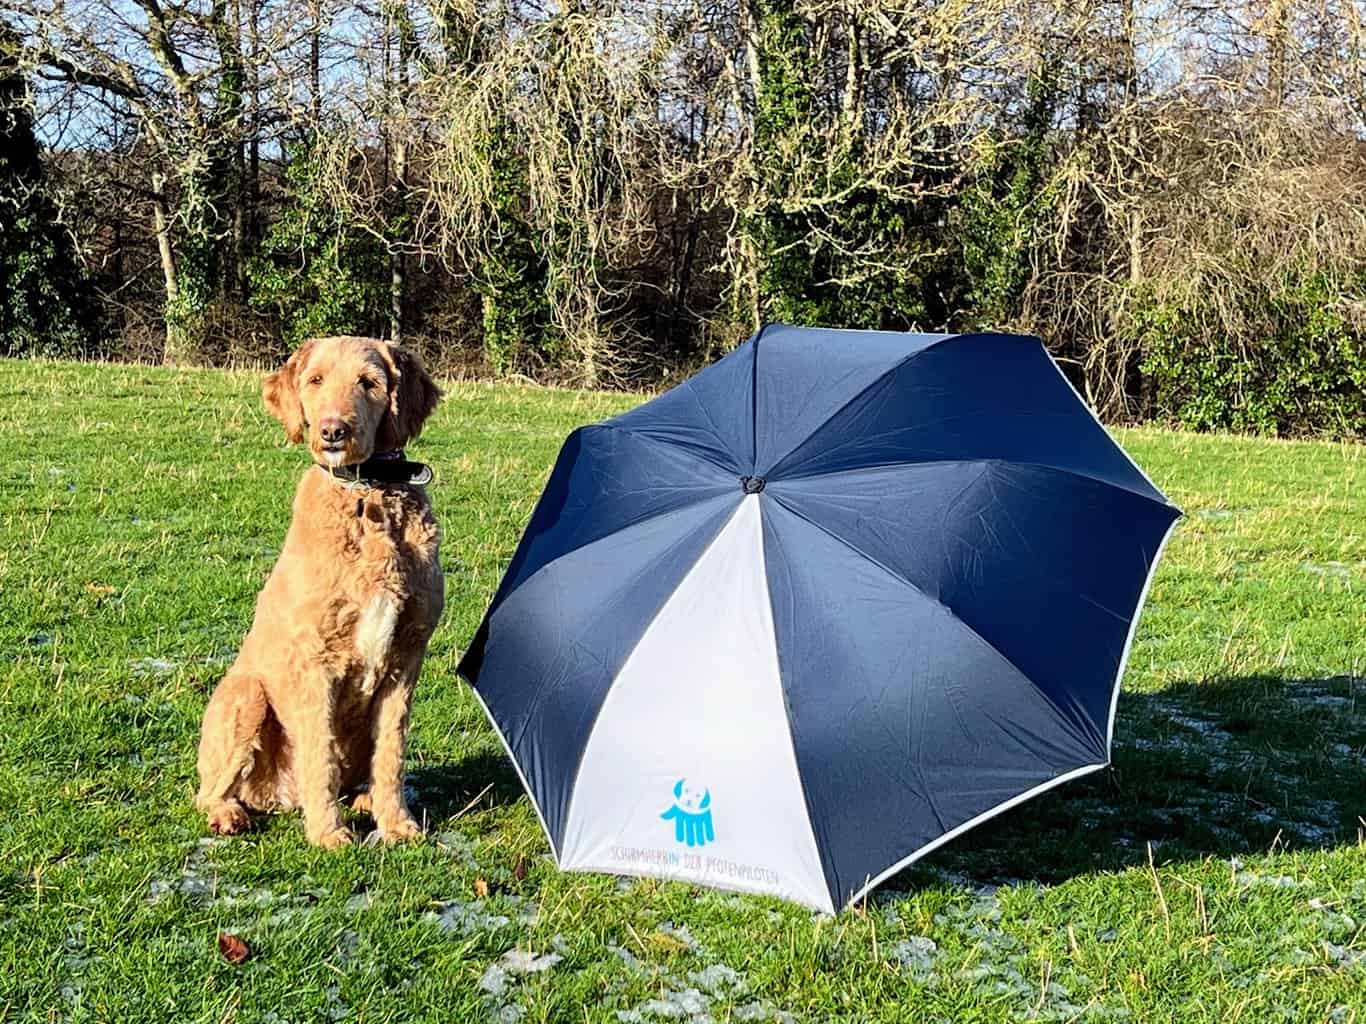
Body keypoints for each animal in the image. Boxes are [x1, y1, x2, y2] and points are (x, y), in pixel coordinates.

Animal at [195, 338, 442, 851]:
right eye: (315, 380)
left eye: (369, 382)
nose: (333, 431)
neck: (366, 494)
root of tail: (277, 798)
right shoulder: (316, 660)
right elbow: (320, 752)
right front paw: (329, 834)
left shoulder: (406, 658)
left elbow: (392, 752)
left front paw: (397, 824)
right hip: (245, 695)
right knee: (208, 791)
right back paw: (228, 813)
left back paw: (365, 801)